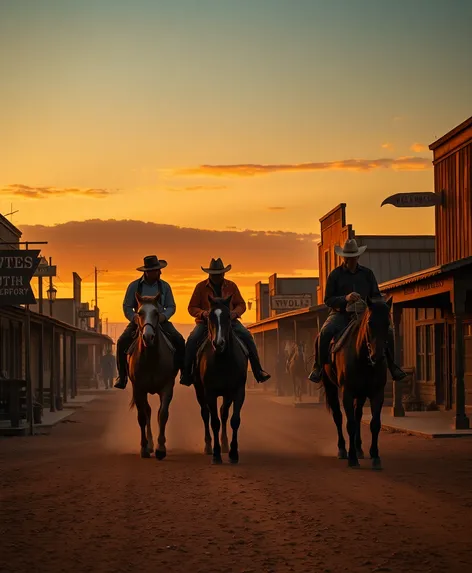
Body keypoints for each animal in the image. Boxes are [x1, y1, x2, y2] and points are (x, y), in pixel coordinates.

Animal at [126, 292, 178, 458]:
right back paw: (149, 445)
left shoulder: (167, 387)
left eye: (156, 313)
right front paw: (144, 448)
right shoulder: (138, 389)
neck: (151, 358)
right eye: (140, 313)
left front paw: (161, 448)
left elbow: (163, 414)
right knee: (146, 411)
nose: (148, 337)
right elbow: (142, 417)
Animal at [194, 294, 249, 464]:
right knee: (205, 414)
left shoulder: (237, 391)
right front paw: (216, 454)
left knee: (224, 413)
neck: (222, 359)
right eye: (210, 317)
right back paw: (208, 447)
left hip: (227, 394)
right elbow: (214, 422)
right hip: (200, 391)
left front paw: (233, 453)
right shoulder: (210, 393)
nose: (219, 343)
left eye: (227, 316)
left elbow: (234, 420)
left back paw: (225, 445)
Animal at [320, 294, 390, 470]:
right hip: (331, 388)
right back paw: (342, 449)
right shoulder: (347, 392)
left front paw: (375, 456)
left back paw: (359, 449)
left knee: (358, 415)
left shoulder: (377, 393)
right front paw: (352, 458)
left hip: (362, 394)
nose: (377, 356)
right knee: (338, 416)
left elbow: (375, 423)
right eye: (370, 322)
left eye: (388, 323)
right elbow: (349, 424)